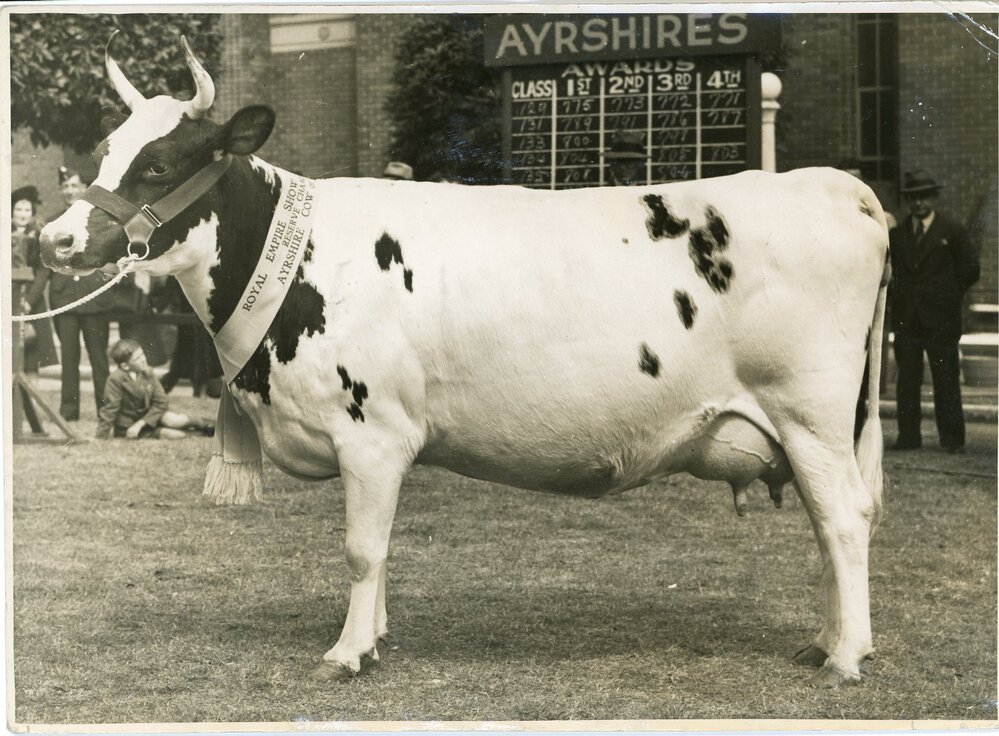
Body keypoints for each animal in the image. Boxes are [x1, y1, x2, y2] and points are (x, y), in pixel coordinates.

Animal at [40, 37, 890, 689]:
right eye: (101, 153)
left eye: (159, 166)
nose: (53, 240)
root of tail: (831, 185)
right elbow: (379, 549)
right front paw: (376, 638)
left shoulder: (372, 433)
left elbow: (362, 549)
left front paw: (347, 653)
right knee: (828, 524)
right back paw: (823, 640)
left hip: (809, 411)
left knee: (843, 518)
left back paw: (845, 657)